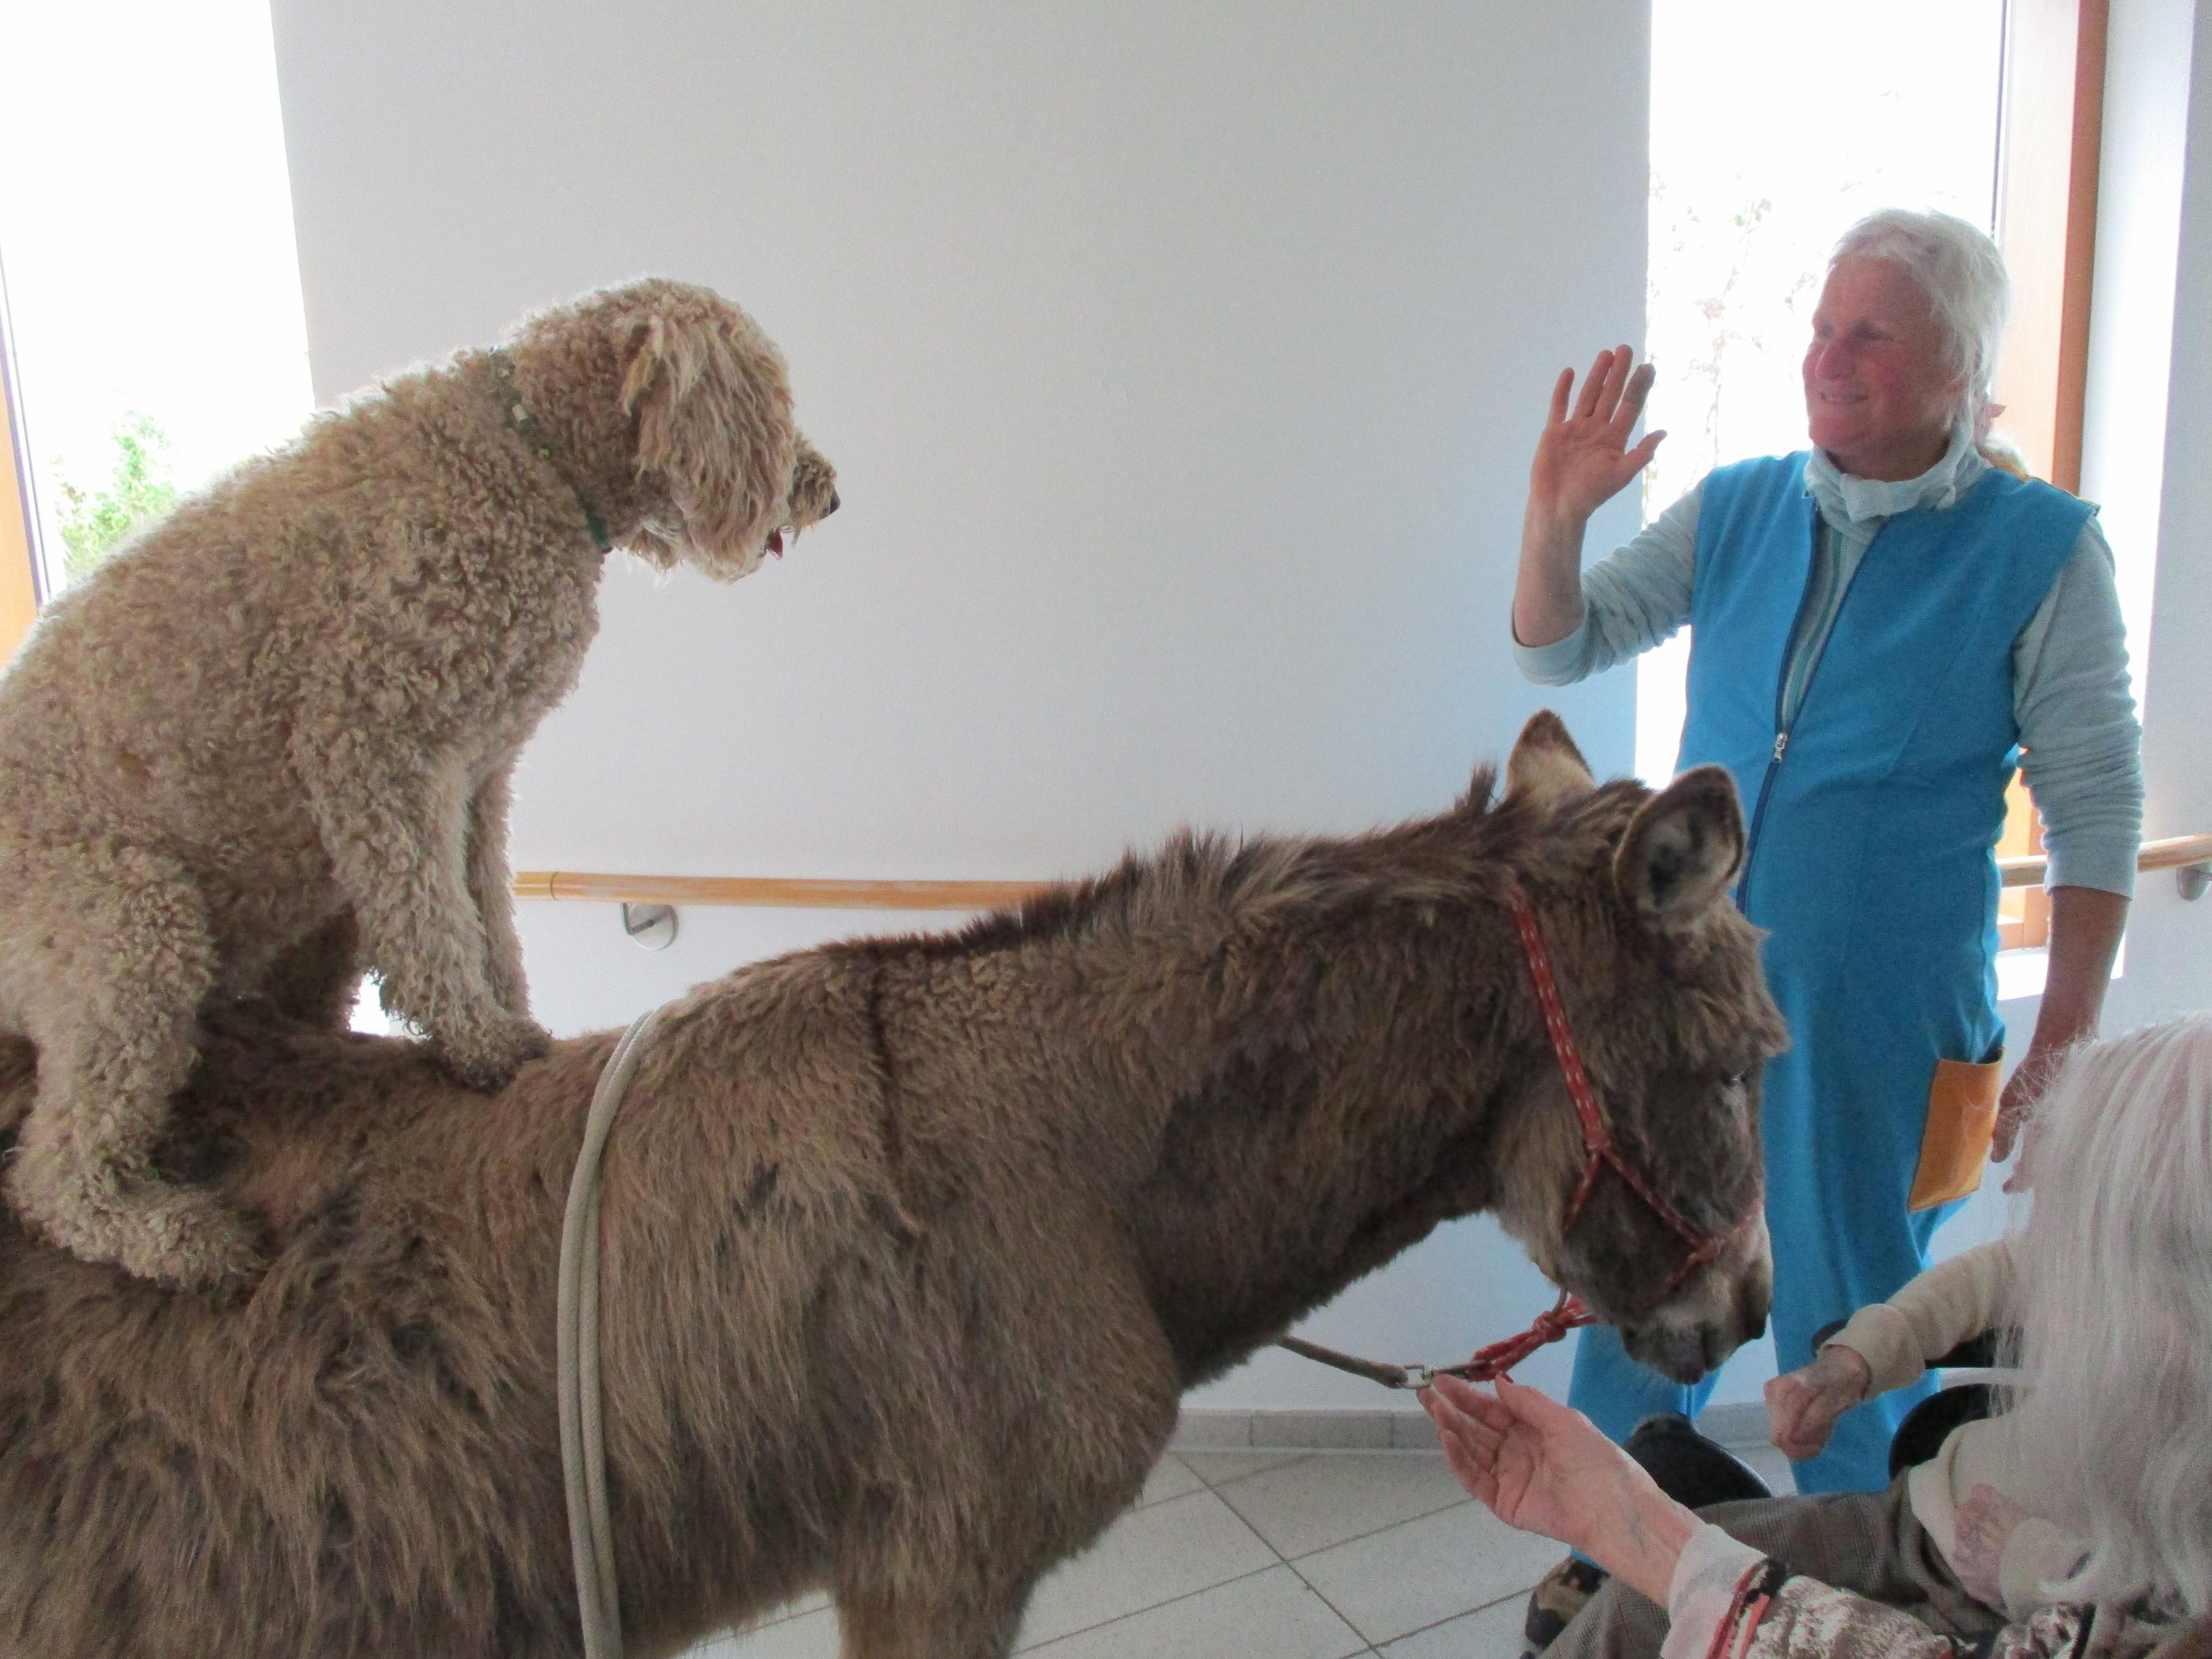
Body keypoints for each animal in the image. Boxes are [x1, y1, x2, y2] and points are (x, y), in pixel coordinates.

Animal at [0, 277, 839, 1288]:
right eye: (772, 402)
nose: (832, 493)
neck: (531, 457)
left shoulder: (477, 781)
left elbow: (487, 921)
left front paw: (515, 1021)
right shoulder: (378, 751)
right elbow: (429, 921)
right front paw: (479, 1043)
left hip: (300, 928)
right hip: (133, 926)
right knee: (53, 1170)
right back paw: (173, 1236)